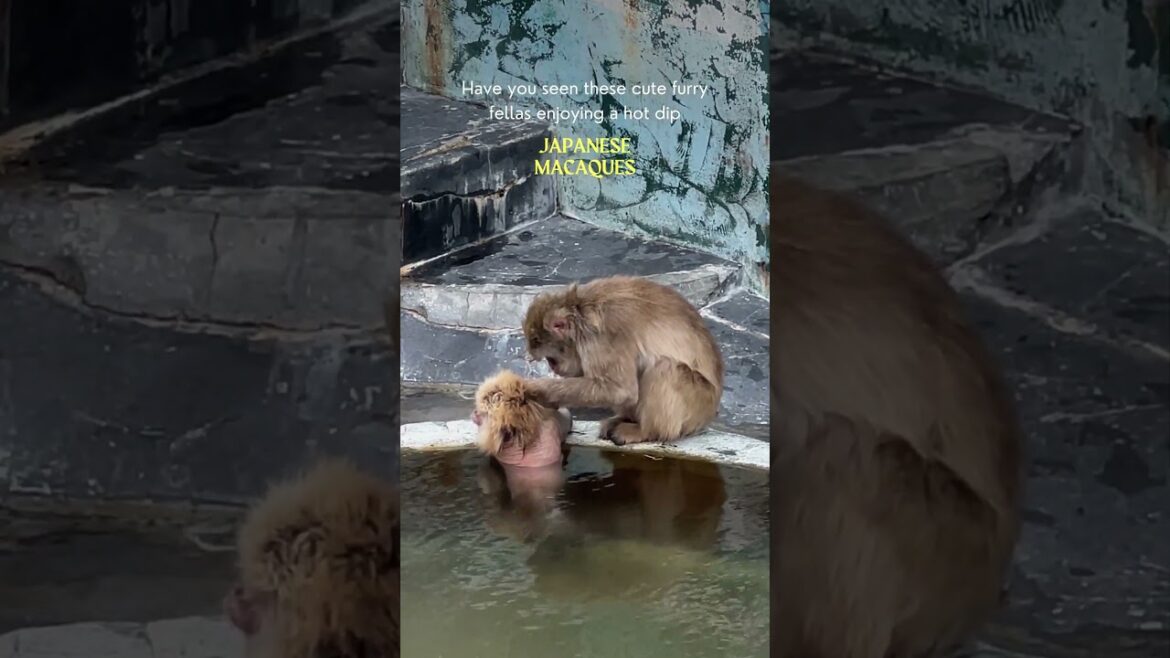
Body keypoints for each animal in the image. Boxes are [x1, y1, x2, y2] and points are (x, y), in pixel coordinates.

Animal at [522, 276, 724, 445]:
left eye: (550, 359)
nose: (553, 367)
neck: (579, 312)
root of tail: (710, 413)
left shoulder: (604, 335)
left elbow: (619, 390)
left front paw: (536, 389)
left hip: (699, 403)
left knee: (665, 367)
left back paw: (646, 431)